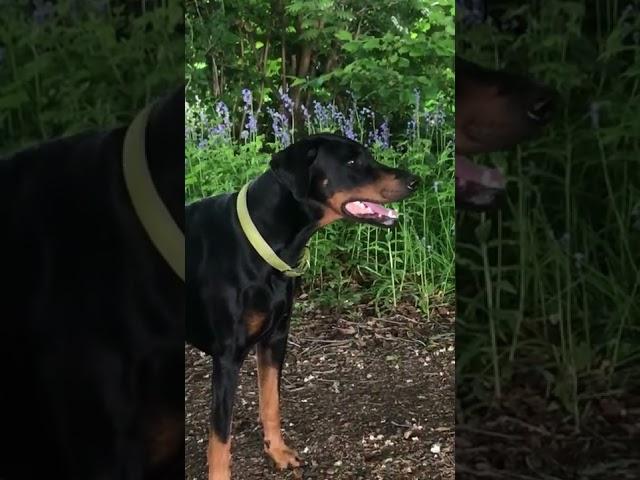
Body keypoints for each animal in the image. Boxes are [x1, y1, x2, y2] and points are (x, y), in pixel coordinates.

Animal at [185, 133, 418, 478]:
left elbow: (271, 402)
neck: (263, 239)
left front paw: (278, 452)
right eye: (352, 161)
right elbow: (220, 436)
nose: (415, 180)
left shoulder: (275, 339)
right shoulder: (227, 356)